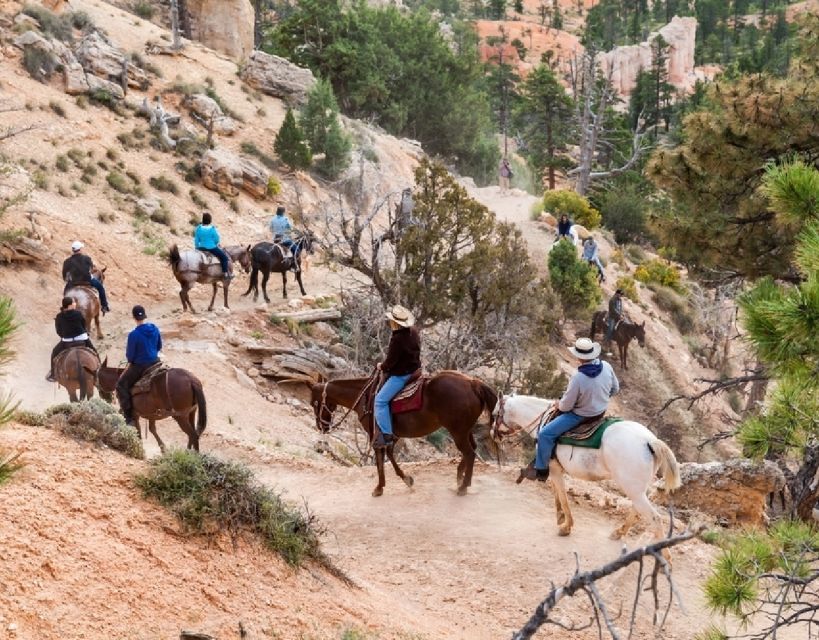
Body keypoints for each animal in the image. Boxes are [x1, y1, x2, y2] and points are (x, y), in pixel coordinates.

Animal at [310, 370, 496, 500]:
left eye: (314, 403)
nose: (321, 426)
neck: (364, 396)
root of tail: (473, 383)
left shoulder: (375, 434)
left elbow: (380, 458)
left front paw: (379, 487)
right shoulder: (391, 434)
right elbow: (389, 454)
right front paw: (406, 479)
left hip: (458, 431)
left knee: (469, 453)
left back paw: (463, 486)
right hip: (465, 430)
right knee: (472, 449)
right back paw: (460, 478)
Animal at [494, 396, 680, 556]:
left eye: (496, 413)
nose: (493, 435)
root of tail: (650, 441)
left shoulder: (554, 469)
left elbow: (563, 496)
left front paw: (566, 526)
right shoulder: (556, 470)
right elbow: (557, 493)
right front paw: (560, 517)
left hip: (633, 489)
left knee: (655, 518)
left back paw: (666, 557)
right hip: (638, 490)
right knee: (637, 510)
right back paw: (618, 532)